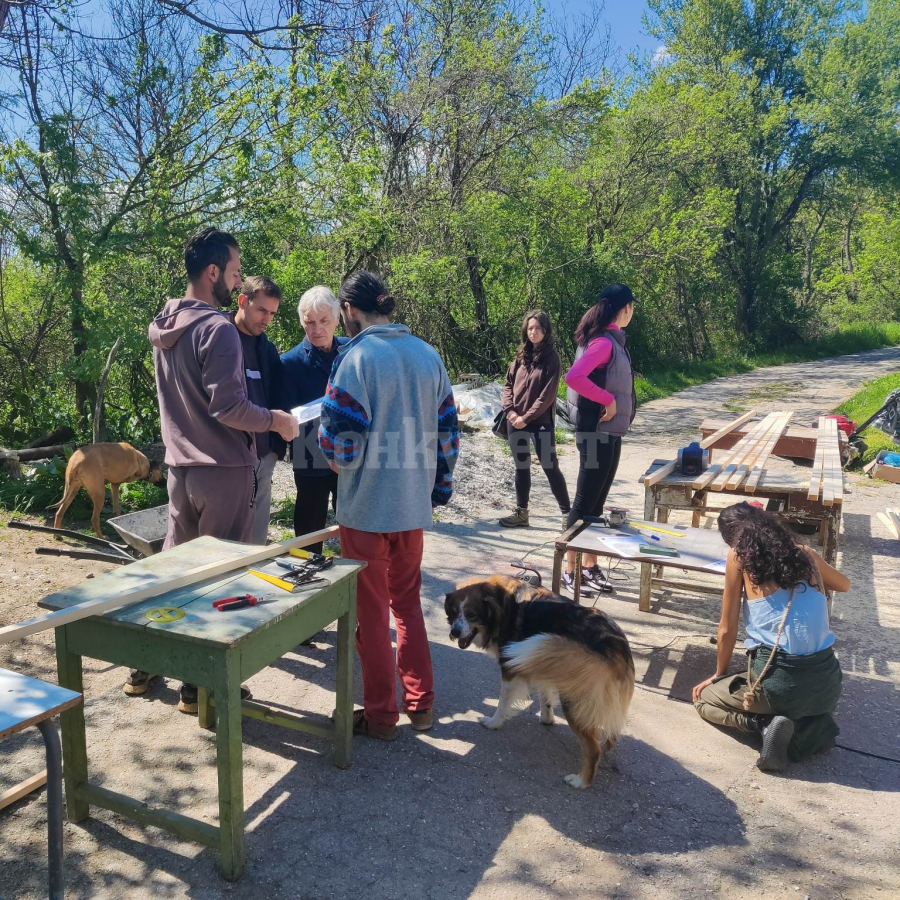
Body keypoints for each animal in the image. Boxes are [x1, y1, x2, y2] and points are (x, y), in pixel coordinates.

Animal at [442, 576, 632, 788]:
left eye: (471, 615)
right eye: (453, 613)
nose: (455, 632)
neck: (502, 603)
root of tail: (616, 646)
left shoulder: (510, 667)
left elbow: (502, 702)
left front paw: (494, 722)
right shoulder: (542, 662)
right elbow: (545, 696)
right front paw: (547, 718)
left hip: (573, 698)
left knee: (592, 749)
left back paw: (581, 781)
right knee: (610, 734)